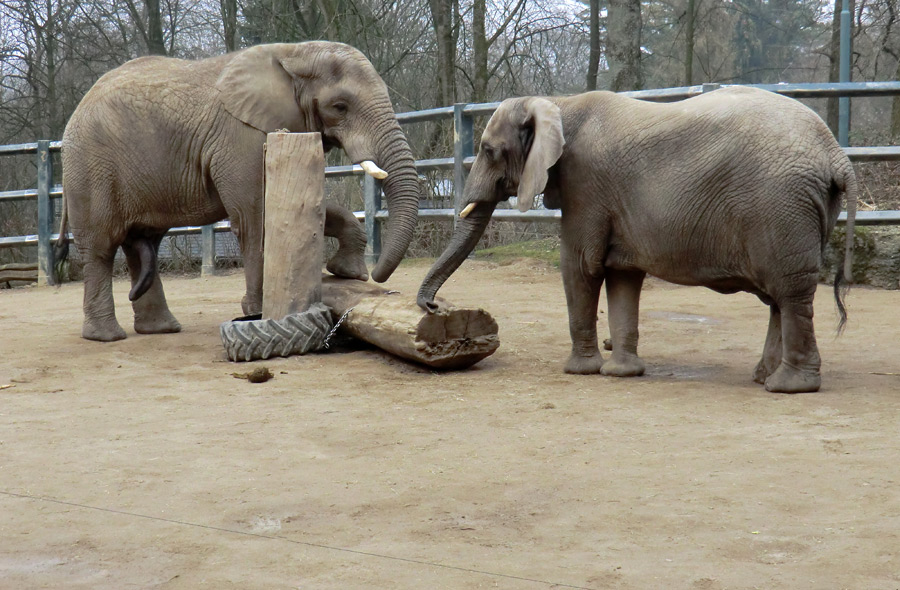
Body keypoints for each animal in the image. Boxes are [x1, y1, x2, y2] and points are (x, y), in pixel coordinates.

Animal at [57, 42, 422, 342]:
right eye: (340, 106)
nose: (379, 278)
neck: (295, 53)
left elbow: (306, 207)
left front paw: (349, 273)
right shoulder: (243, 137)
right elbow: (257, 215)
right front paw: (258, 313)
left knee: (143, 243)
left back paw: (161, 329)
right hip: (90, 166)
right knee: (101, 247)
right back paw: (106, 336)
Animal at [420, 86, 856, 394]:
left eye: (489, 150)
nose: (433, 307)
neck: (558, 103)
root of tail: (837, 155)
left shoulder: (585, 184)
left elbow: (580, 266)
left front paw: (579, 371)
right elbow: (622, 276)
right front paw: (621, 373)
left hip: (782, 207)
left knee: (790, 292)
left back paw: (788, 387)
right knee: (779, 296)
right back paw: (763, 377)